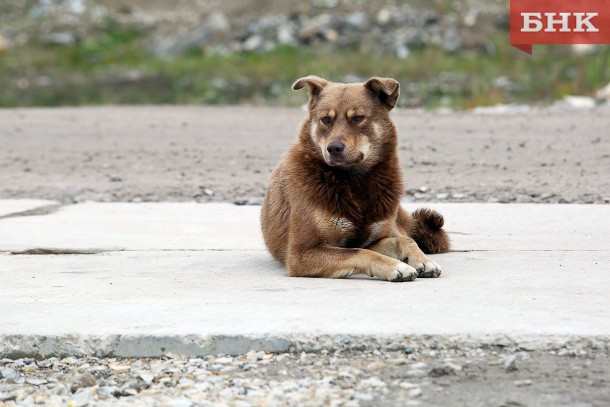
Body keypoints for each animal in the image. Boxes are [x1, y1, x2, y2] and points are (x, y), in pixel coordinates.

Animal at [258, 75, 448, 282]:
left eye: (357, 118)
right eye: (326, 120)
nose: (333, 148)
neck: (354, 181)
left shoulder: (374, 238)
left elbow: (403, 241)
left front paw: (421, 260)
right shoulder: (301, 254)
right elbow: (360, 252)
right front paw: (395, 266)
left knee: (408, 235)